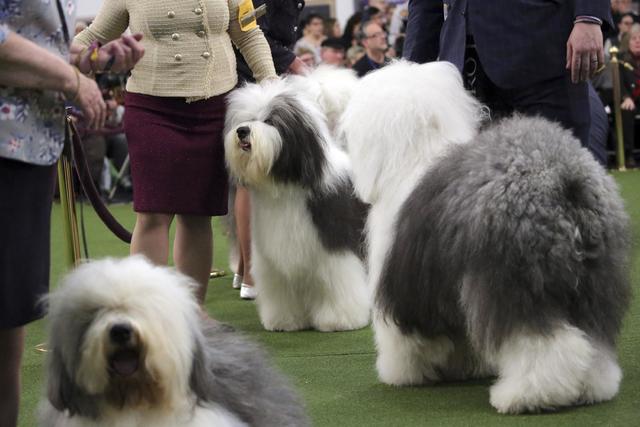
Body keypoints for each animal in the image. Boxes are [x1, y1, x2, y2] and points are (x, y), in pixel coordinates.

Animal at [342, 60, 632, 414]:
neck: (415, 153)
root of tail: (563, 180)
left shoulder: (404, 283)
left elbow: (404, 338)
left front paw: (402, 373)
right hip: (593, 281)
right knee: (594, 339)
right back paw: (593, 387)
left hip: (514, 282)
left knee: (547, 346)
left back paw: (526, 396)